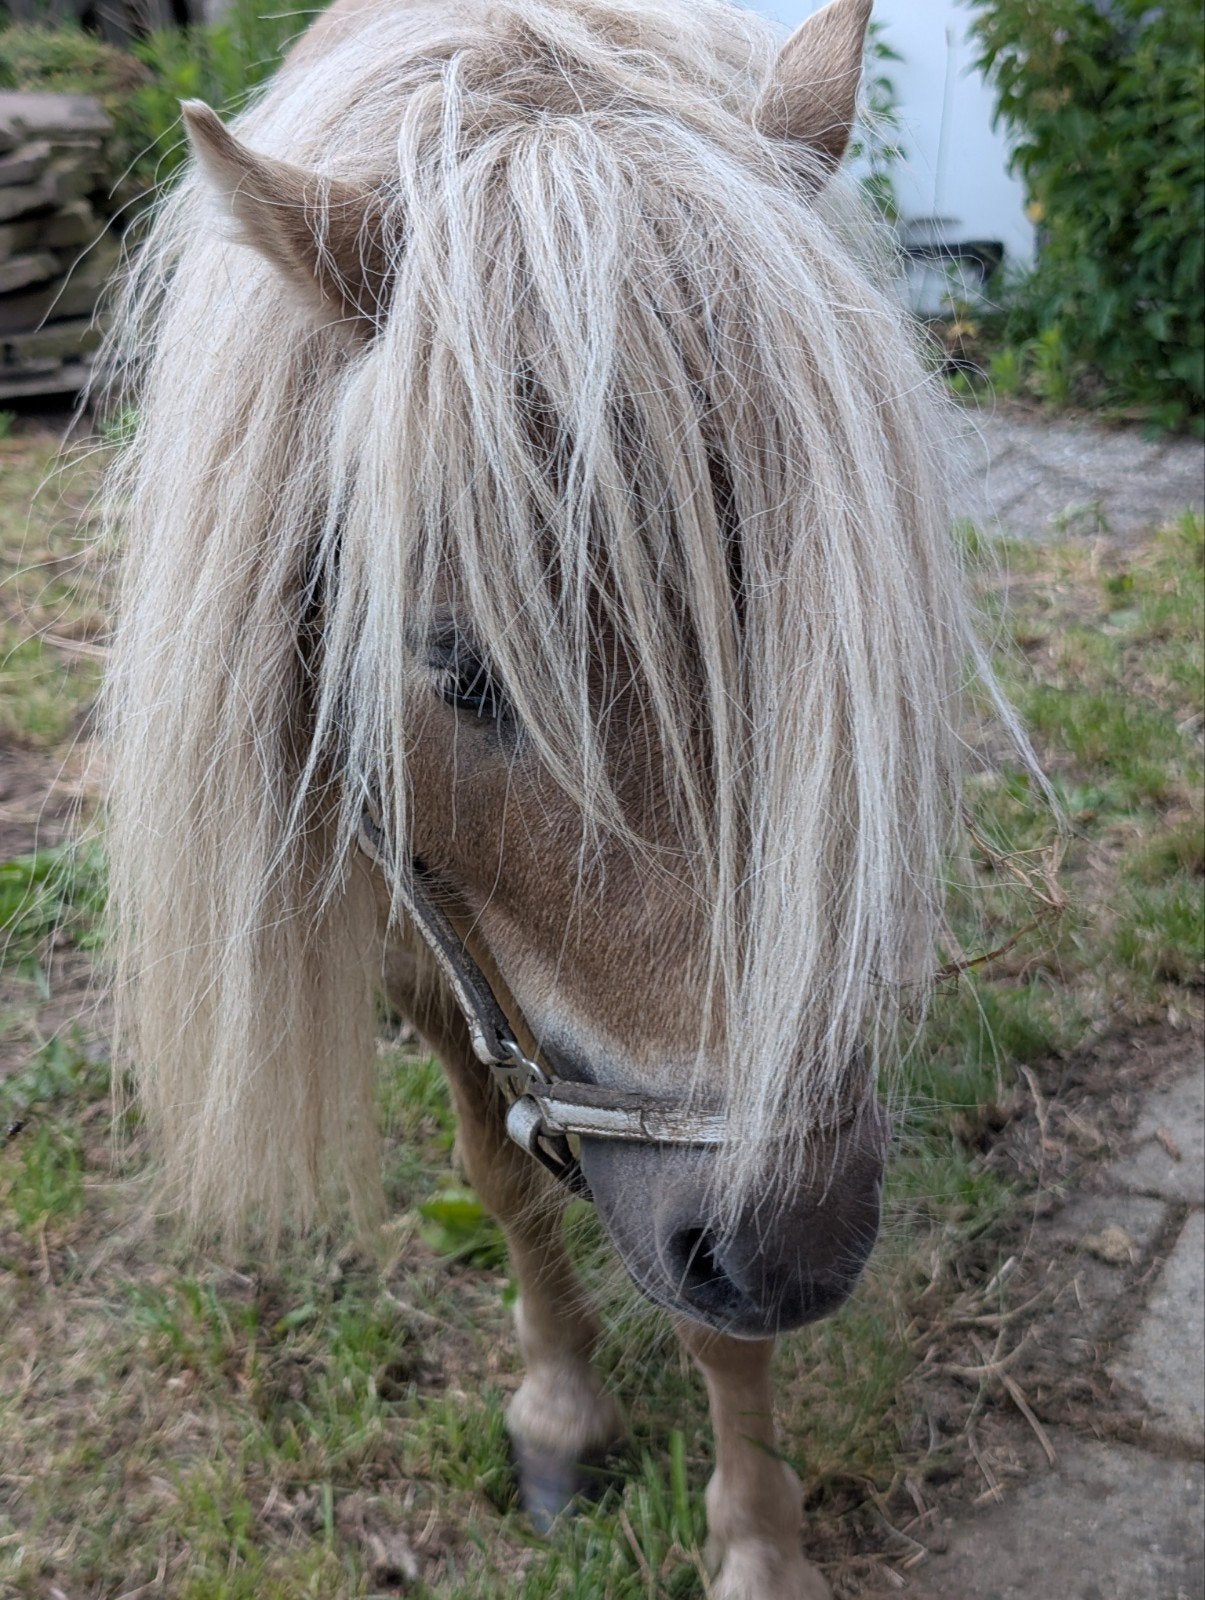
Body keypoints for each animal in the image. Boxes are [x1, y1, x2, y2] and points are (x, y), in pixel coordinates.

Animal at [102, 0, 1018, 1592]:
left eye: (839, 636)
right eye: (456, 671)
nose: (801, 1247)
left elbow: (715, 1323)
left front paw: (757, 1542)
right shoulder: (425, 943)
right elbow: (504, 1172)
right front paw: (560, 1408)